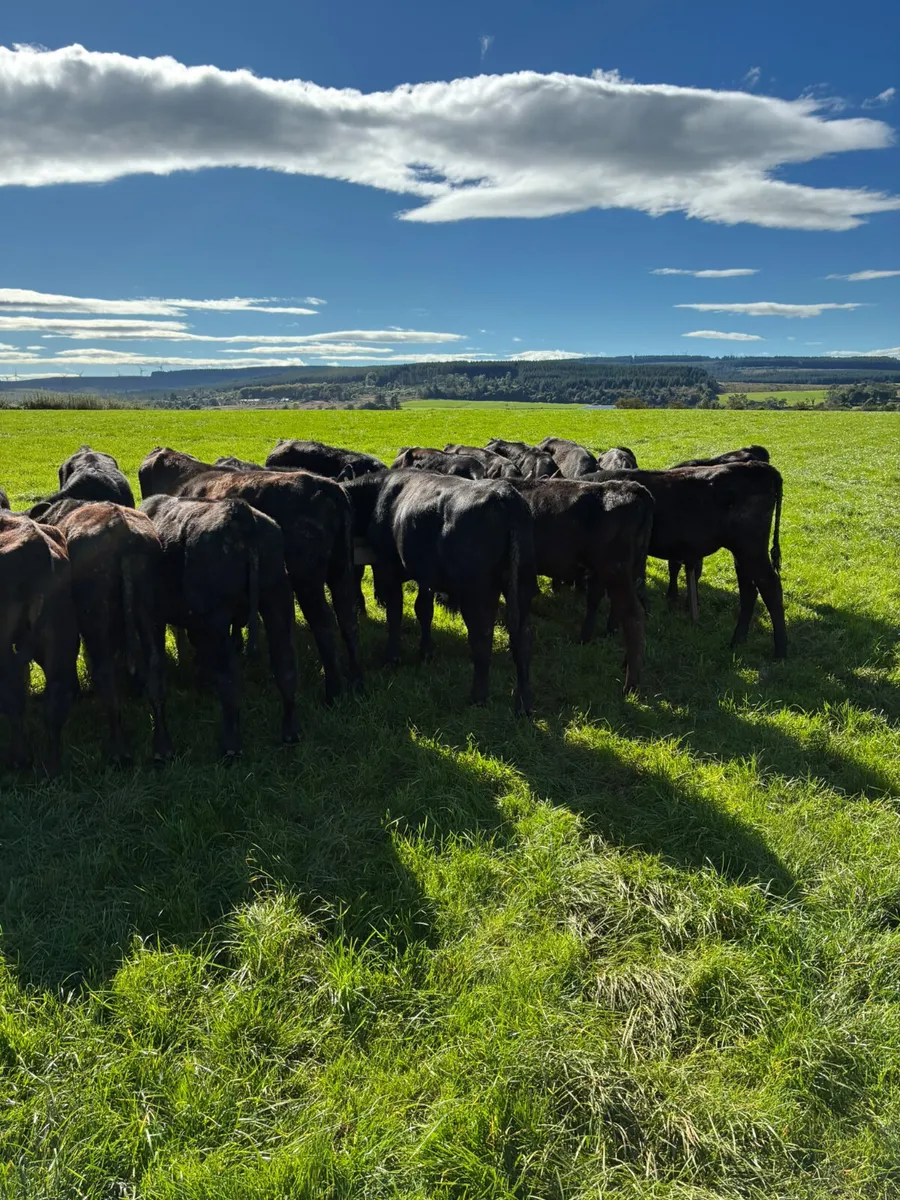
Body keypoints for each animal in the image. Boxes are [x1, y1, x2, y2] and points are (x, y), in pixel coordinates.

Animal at [38, 500, 172, 766]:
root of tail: (122, 529)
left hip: (96, 617)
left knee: (105, 672)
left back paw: (119, 750)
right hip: (150, 610)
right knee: (155, 666)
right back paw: (162, 746)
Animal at [141, 495, 298, 758]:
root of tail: (239, 513)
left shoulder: (155, 619)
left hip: (218, 620)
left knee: (229, 680)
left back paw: (231, 746)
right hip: (277, 599)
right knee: (285, 666)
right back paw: (289, 733)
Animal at [343, 470, 535, 714]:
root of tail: (504, 493)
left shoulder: (389, 565)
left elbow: (395, 613)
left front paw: (392, 657)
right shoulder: (426, 575)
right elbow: (424, 610)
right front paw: (426, 651)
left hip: (476, 591)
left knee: (482, 637)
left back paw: (478, 697)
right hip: (522, 585)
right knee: (523, 640)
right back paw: (524, 703)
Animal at [581, 461, 786, 657]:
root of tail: (758, 466)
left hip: (751, 548)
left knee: (770, 587)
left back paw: (780, 651)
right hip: (742, 553)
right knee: (749, 589)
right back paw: (737, 640)